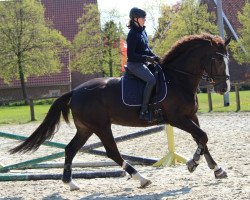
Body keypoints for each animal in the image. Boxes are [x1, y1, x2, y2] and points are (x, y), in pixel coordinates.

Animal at [11, 33, 230, 190]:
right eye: (218, 60)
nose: (224, 88)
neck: (177, 79)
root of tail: (75, 91)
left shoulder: (191, 116)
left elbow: (201, 139)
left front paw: (216, 169)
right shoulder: (177, 119)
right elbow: (202, 136)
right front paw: (193, 163)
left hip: (85, 128)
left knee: (70, 149)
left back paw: (71, 183)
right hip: (101, 126)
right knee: (112, 152)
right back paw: (141, 178)